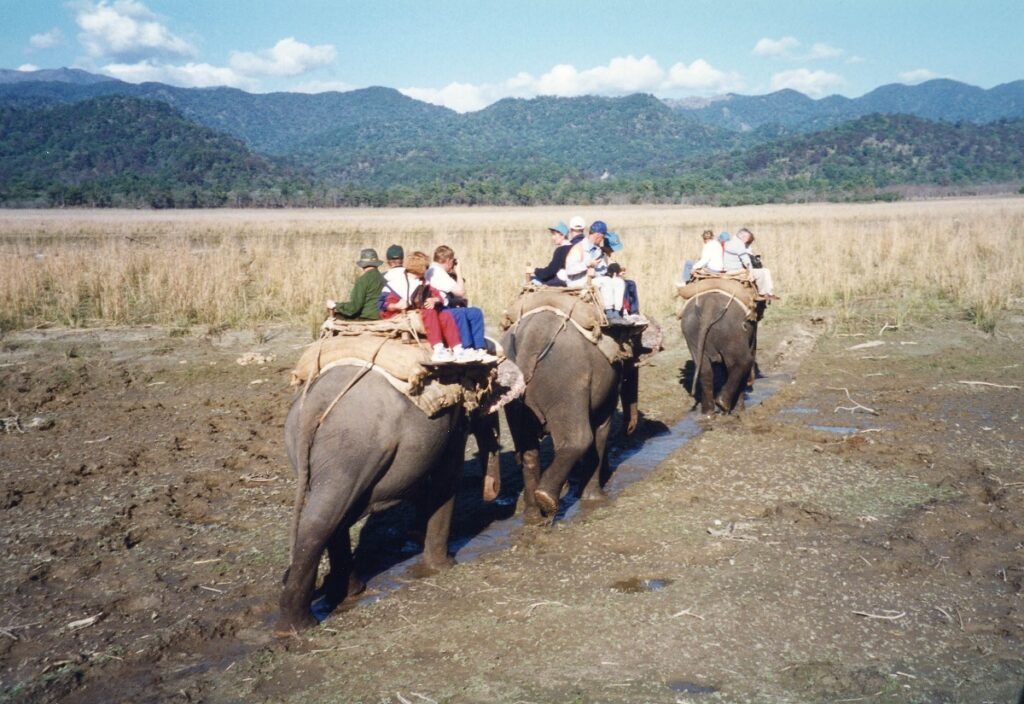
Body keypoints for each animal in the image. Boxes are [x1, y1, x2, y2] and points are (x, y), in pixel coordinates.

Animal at [277, 364, 505, 634]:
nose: (492, 492)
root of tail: (312, 408)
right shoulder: (453, 422)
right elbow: (447, 474)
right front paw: (444, 566)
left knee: (333, 513)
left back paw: (345, 594)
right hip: (352, 452)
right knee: (324, 519)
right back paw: (300, 625)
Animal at [502, 310, 639, 520]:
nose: (630, 427)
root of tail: (529, 342)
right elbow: (600, 430)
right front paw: (595, 499)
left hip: (513, 393)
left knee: (528, 450)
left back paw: (534, 514)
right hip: (568, 384)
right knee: (580, 439)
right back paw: (547, 500)